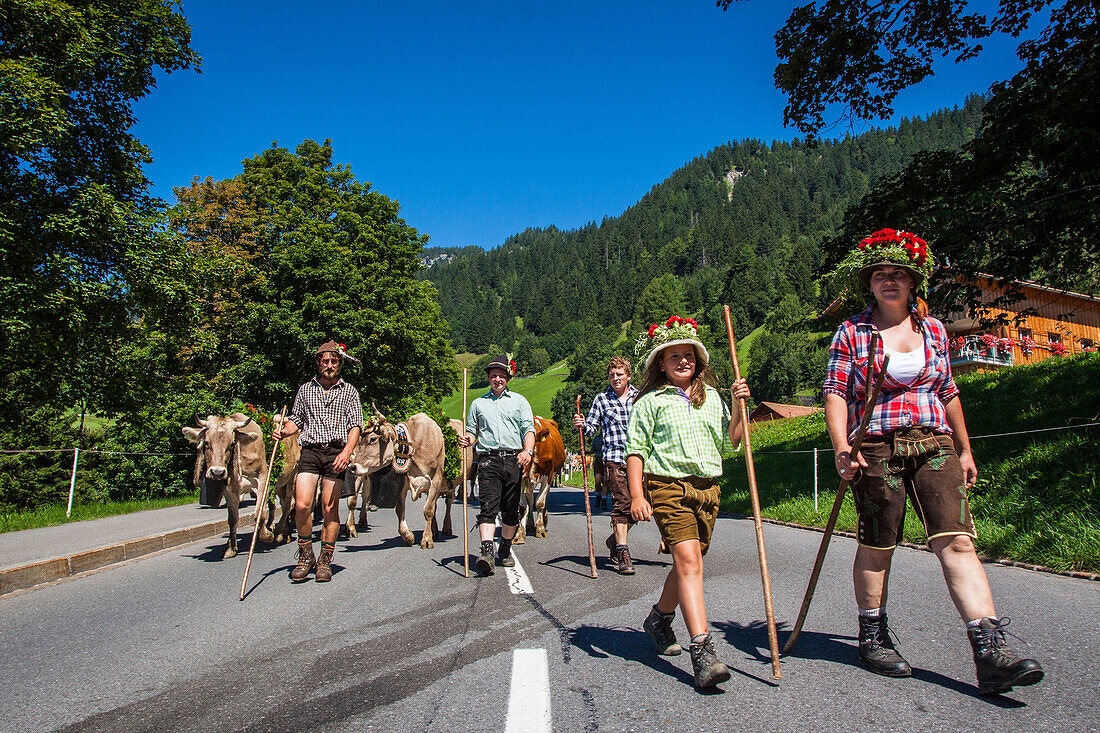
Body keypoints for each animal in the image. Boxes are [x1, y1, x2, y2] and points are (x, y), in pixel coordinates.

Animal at [184, 413, 297, 556]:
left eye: (232, 443)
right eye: (207, 443)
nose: (217, 472)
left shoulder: (263, 478)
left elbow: (259, 513)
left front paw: (266, 536)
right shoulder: (229, 489)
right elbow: (232, 518)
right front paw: (230, 548)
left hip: (292, 476)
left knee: (288, 504)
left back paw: (280, 533)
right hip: (279, 485)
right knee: (277, 504)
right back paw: (279, 530)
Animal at [343, 407, 446, 545]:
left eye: (373, 439)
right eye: (359, 441)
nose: (352, 466)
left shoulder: (436, 480)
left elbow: (429, 509)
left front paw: (427, 539)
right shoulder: (403, 481)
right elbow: (400, 509)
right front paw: (407, 535)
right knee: (361, 498)